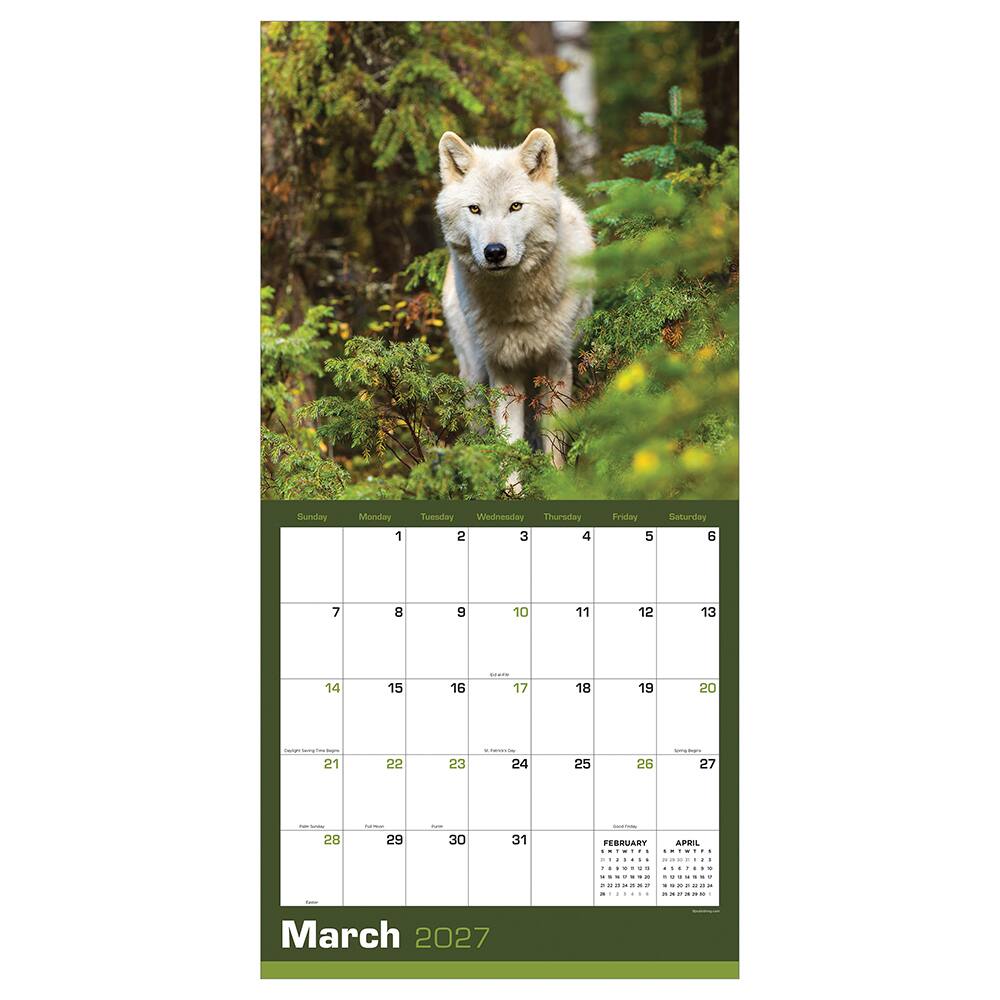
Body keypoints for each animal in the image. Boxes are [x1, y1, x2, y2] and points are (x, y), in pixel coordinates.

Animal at [435, 128, 594, 466]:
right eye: (475, 209)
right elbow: (508, 444)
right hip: (473, 377)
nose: (494, 252)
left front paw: (556, 477)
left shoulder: (556, 365)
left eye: (516, 206)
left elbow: (554, 444)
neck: (519, 308)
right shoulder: (502, 370)